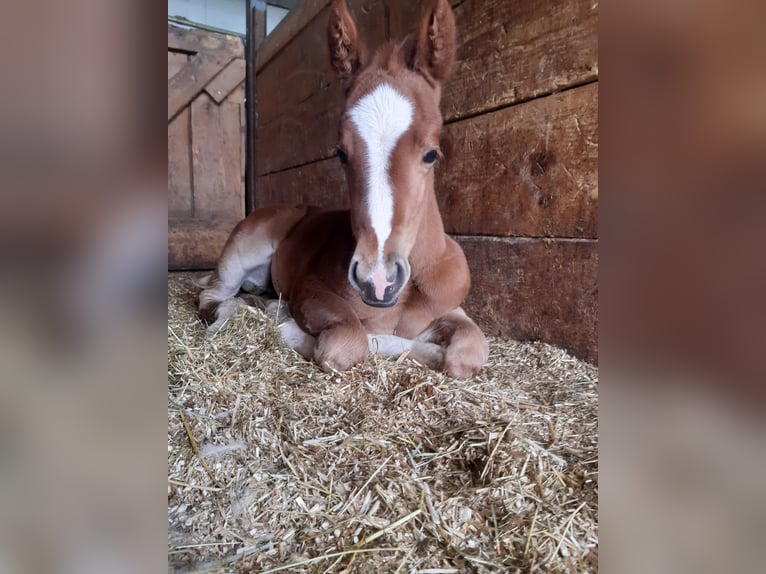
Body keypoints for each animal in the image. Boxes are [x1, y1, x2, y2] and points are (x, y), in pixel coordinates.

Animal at [196, 0, 486, 380]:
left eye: (430, 153)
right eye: (341, 152)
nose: (378, 280)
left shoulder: (451, 309)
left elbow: (468, 352)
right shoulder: (313, 292)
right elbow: (348, 342)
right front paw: (289, 325)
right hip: (241, 252)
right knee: (213, 297)